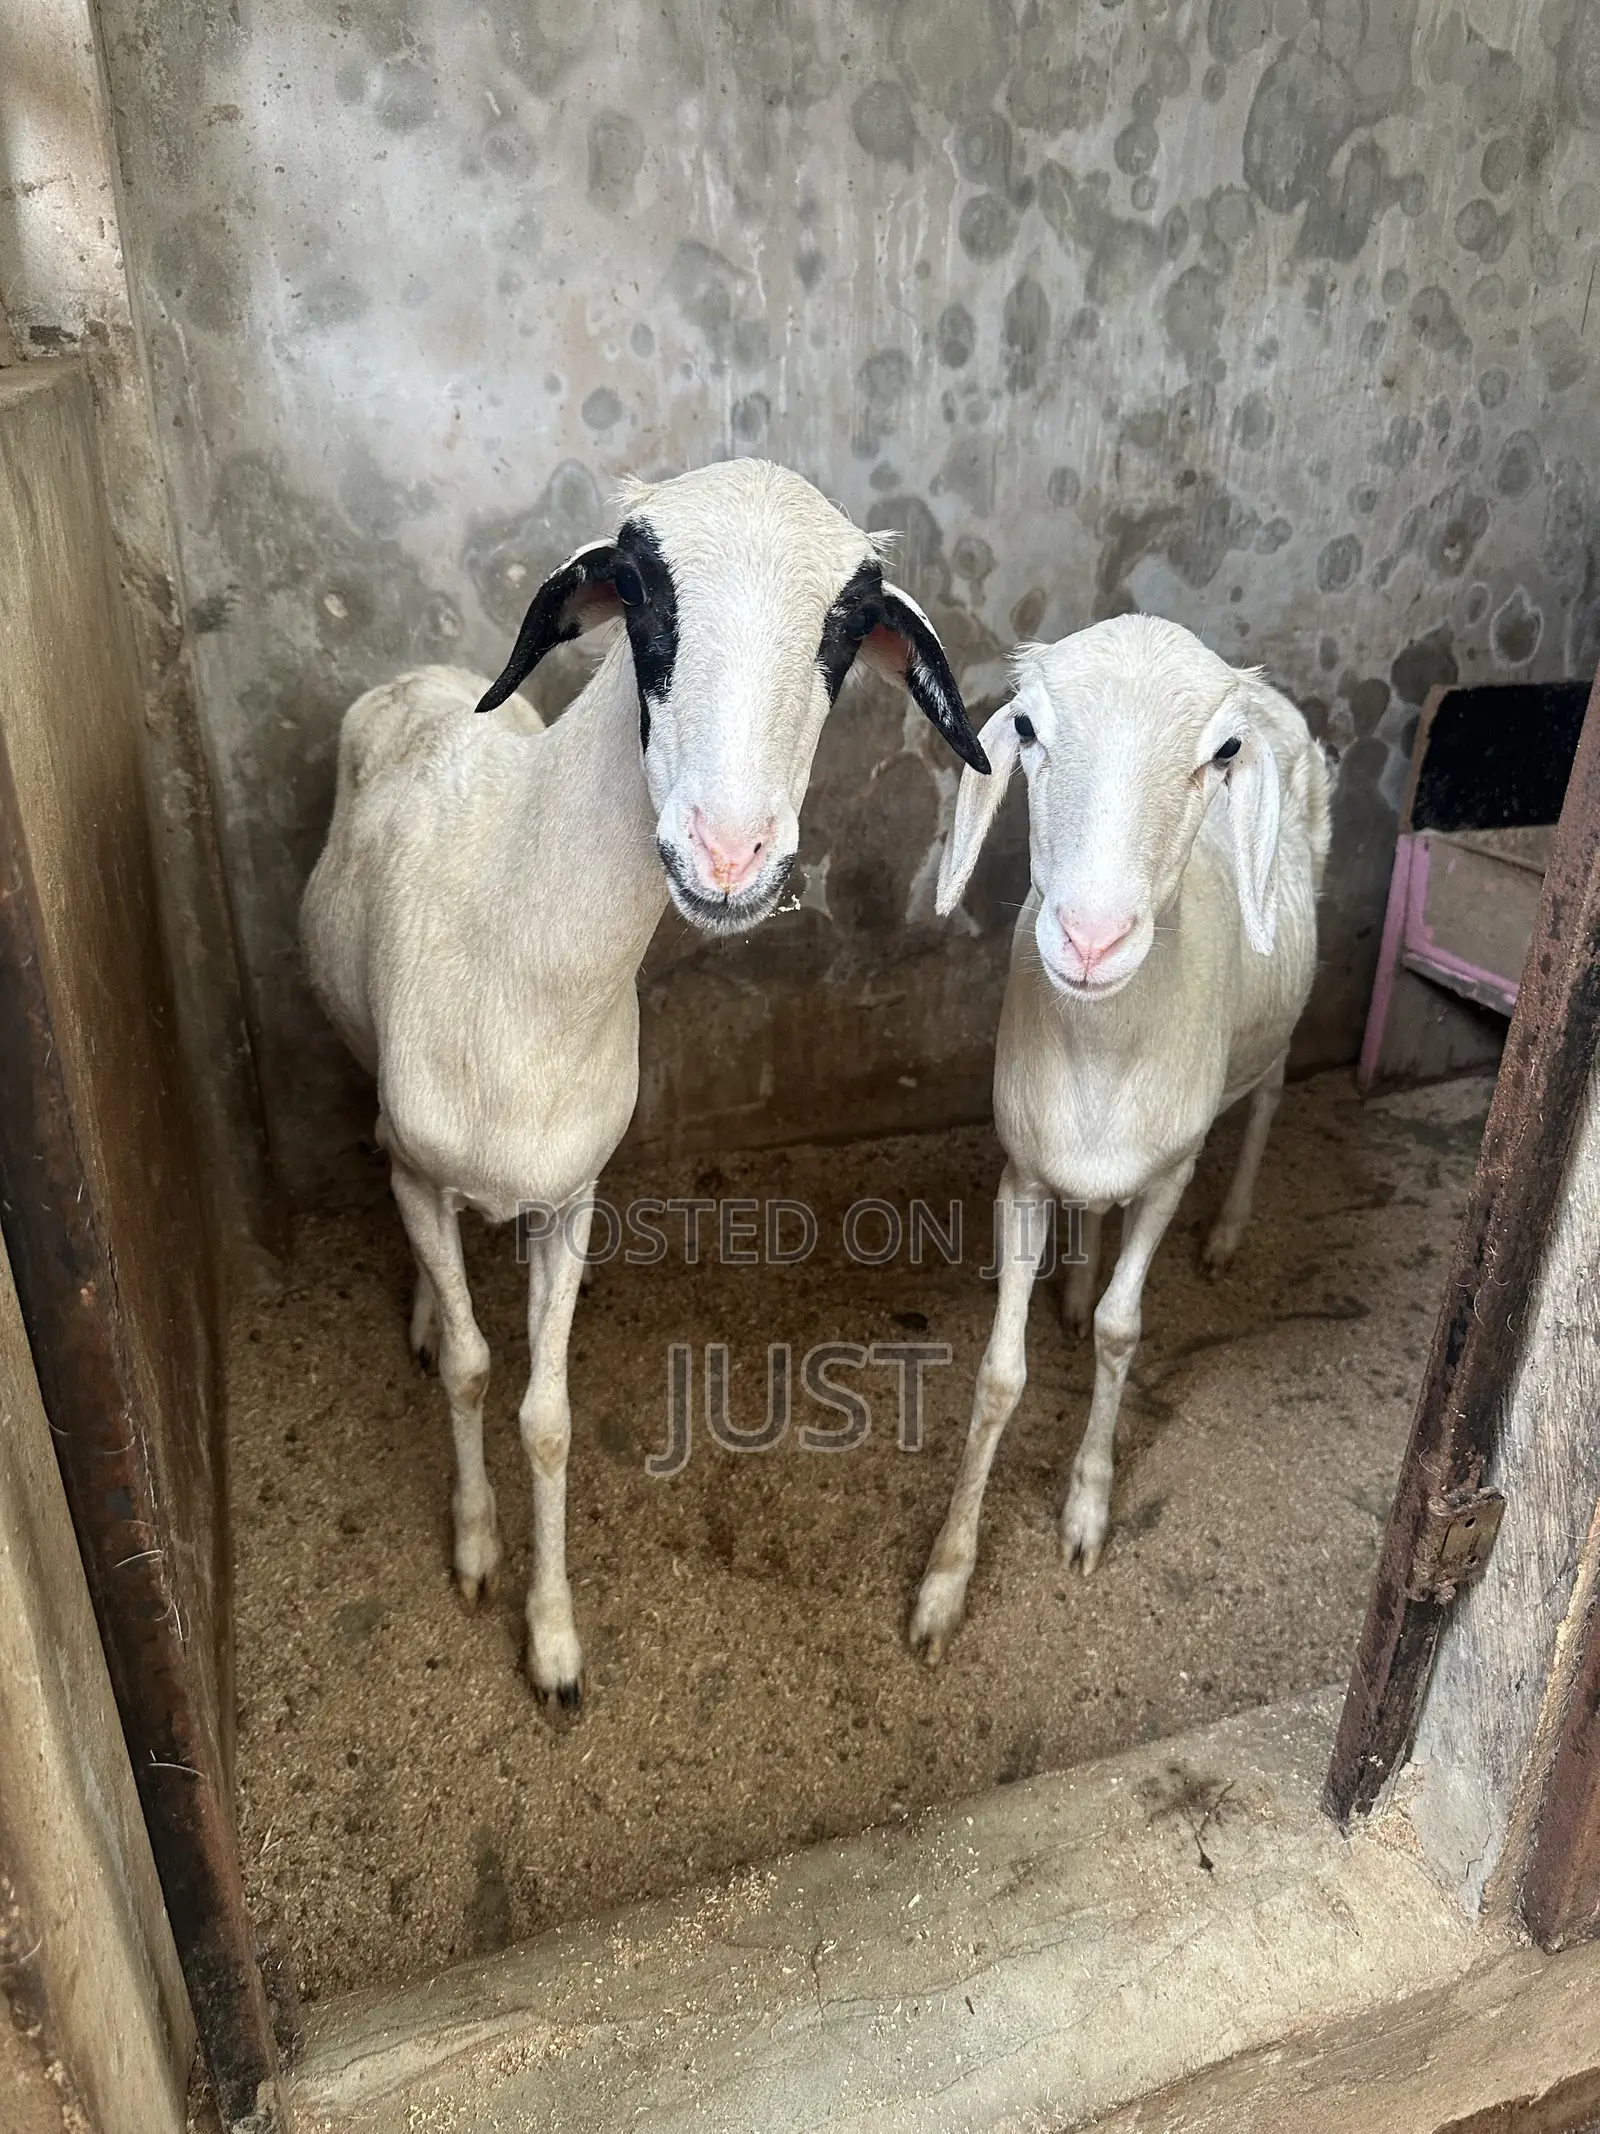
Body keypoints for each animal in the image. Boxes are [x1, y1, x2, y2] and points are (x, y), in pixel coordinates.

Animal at [301, 458, 987, 1706]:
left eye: (844, 627)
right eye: (640, 591)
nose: (728, 853)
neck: (515, 946)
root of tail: (420, 677)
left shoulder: (572, 1200)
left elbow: (546, 1415)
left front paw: (553, 1639)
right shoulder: (426, 1169)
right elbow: (471, 1370)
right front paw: (474, 1548)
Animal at [909, 614, 1331, 1662]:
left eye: (1221, 755)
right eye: (1025, 729)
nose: (1091, 939)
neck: (1103, 1051)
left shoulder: (1171, 1173)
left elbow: (1121, 1332)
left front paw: (1087, 1509)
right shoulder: (1020, 1176)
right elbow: (1000, 1376)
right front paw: (945, 1581)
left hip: (1276, 1026)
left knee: (1268, 1098)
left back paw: (1228, 1233)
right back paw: (1073, 1278)